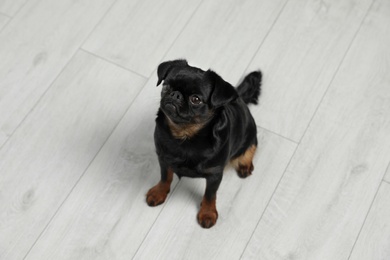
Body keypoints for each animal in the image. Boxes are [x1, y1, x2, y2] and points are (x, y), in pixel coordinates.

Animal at [146, 60, 262, 229]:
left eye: (196, 99)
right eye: (166, 87)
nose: (175, 94)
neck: (185, 136)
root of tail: (239, 97)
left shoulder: (215, 174)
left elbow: (210, 195)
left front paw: (207, 213)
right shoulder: (163, 159)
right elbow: (165, 177)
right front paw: (159, 192)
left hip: (250, 131)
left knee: (251, 147)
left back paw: (245, 164)